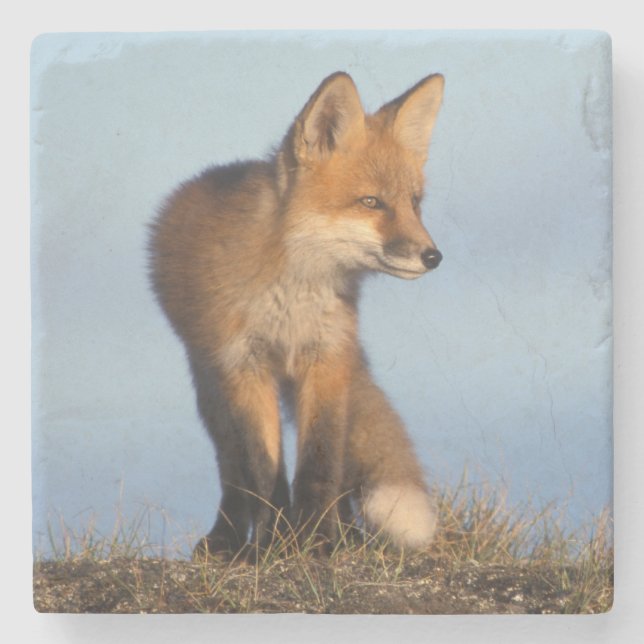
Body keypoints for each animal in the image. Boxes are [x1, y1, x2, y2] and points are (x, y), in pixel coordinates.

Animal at [149, 71, 445, 557]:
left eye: (414, 203)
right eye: (371, 202)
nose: (433, 257)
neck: (293, 293)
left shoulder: (327, 356)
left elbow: (320, 463)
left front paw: (319, 540)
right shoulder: (244, 365)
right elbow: (264, 469)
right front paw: (276, 545)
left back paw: (344, 534)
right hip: (210, 385)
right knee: (233, 471)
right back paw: (230, 539)